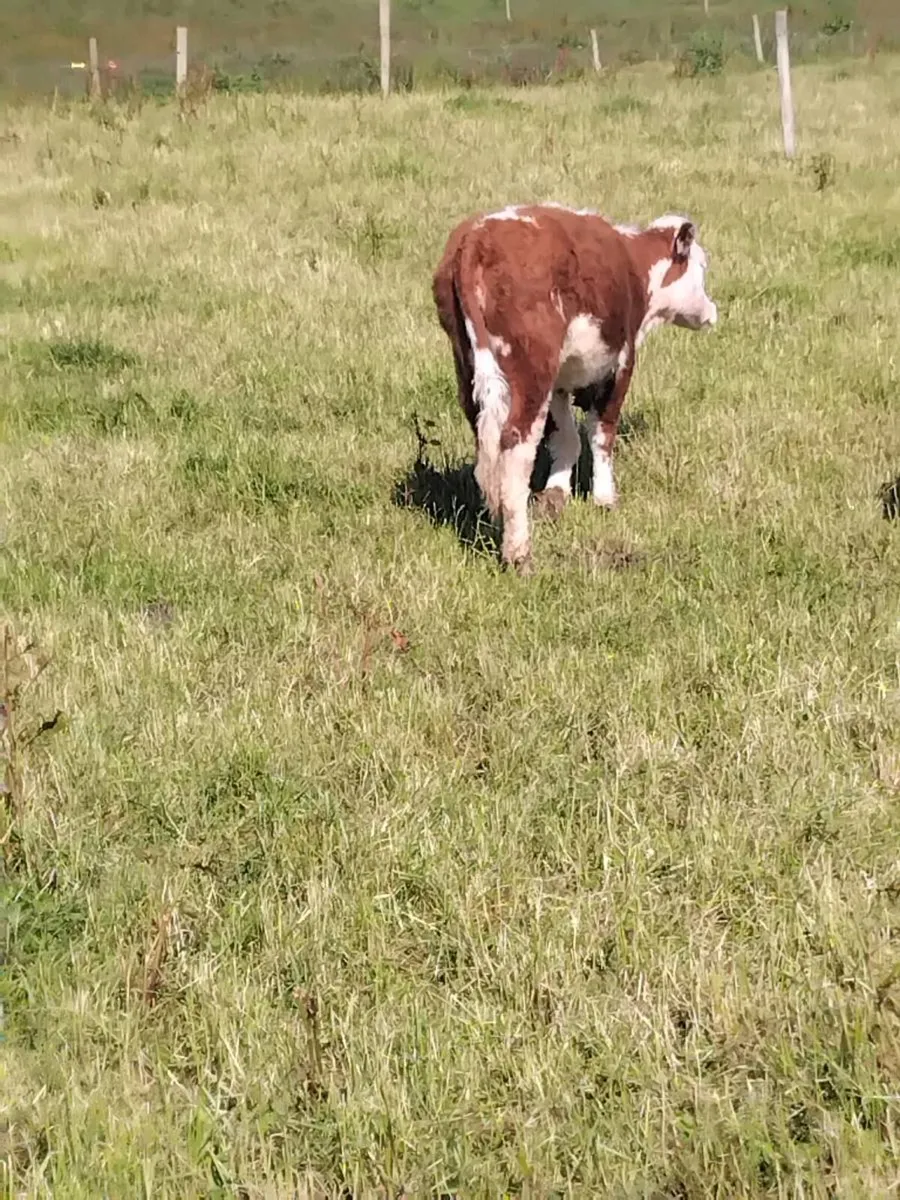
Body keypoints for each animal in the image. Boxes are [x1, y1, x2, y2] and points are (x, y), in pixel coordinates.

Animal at [432, 203, 718, 574]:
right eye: (702, 266)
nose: (711, 311)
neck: (635, 270)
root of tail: (477, 236)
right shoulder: (620, 364)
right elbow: (601, 434)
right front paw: (605, 498)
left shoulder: (560, 381)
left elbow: (565, 437)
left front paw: (555, 494)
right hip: (531, 367)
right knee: (516, 445)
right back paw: (519, 553)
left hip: (467, 363)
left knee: (487, 444)